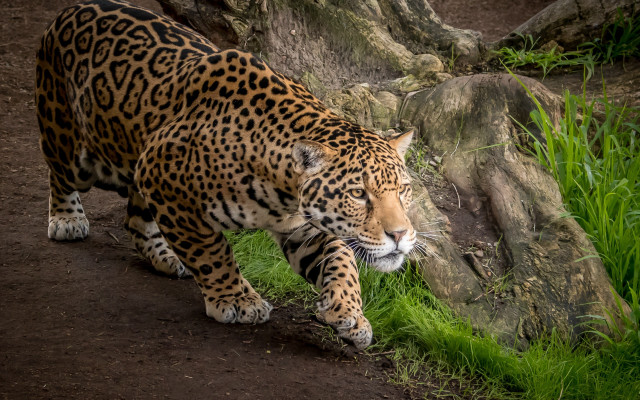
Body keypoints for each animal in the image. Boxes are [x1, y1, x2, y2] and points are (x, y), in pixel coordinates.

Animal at [36, 0, 416, 349]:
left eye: (403, 190)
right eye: (358, 194)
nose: (400, 235)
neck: (283, 192)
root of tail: (73, 8)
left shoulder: (303, 227)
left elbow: (342, 260)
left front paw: (349, 313)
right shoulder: (167, 184)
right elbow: (211, 250)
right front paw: (238, 299)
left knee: (135, 219)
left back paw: (165, 256)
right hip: (71, 143)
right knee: (60, 173)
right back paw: (67, 219)